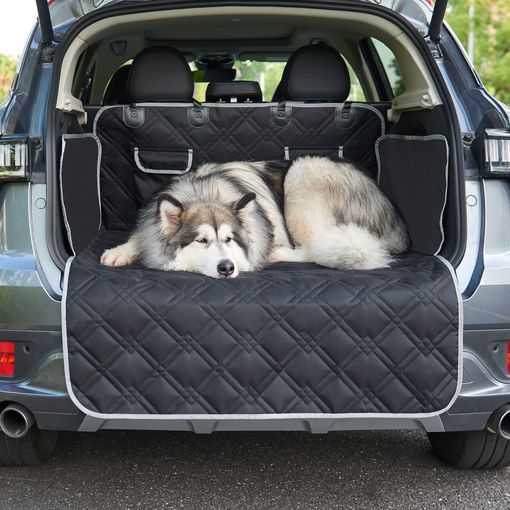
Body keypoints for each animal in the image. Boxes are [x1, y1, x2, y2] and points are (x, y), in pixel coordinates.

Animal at [100, 157, 410, 278]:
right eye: (201, 241)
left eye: (229, 239)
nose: (227, 267)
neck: (205, 192)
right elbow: (141, 235)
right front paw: (121, 251)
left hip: (303, 172)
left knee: (314, 248)